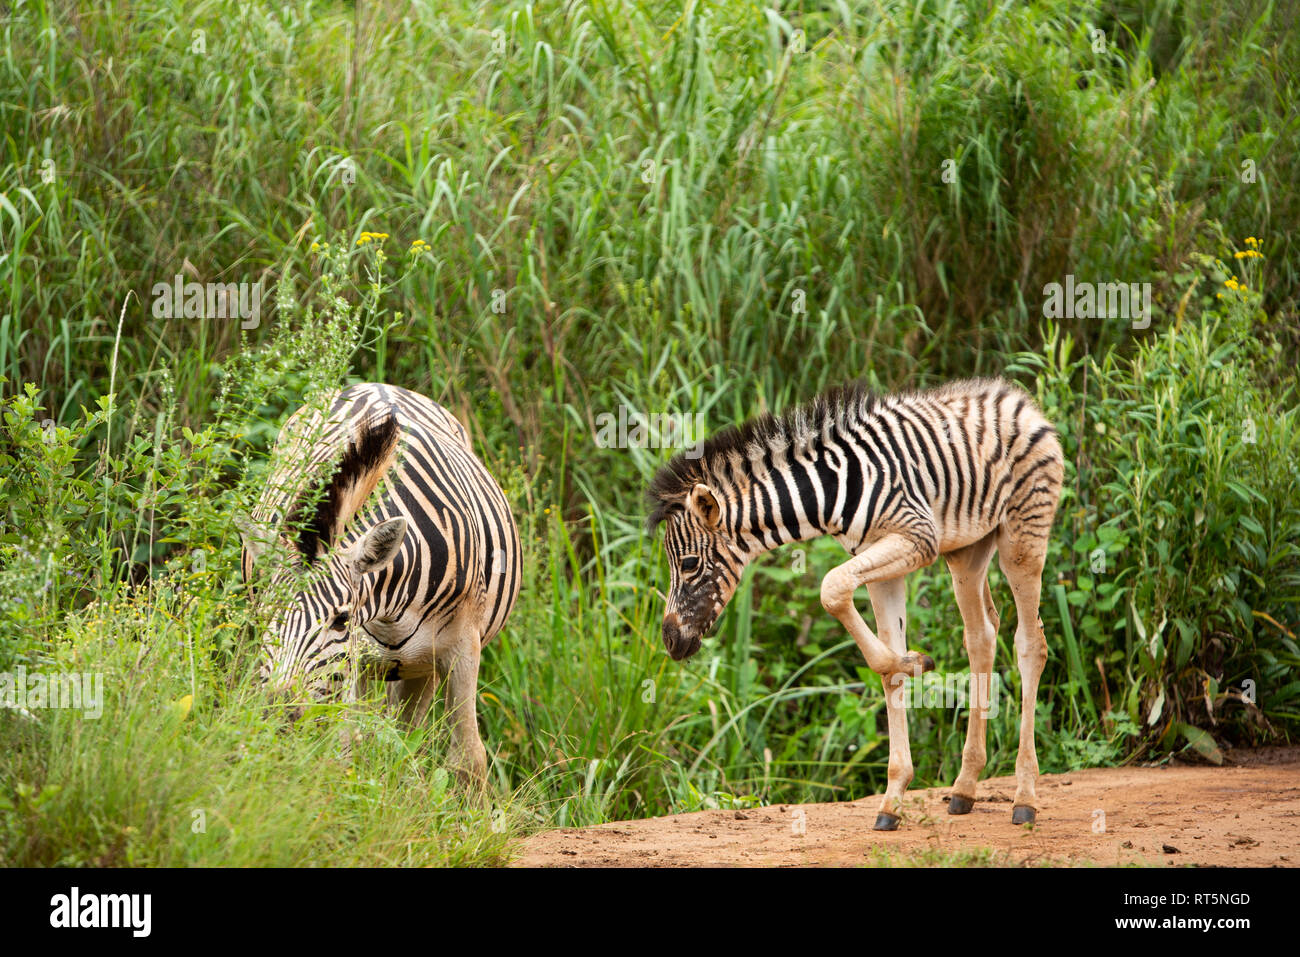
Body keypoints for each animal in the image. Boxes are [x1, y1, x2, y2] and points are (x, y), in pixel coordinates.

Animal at [237, 383, 521, 784]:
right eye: (268, 614)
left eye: (341, 620)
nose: (278, 711)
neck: (392, 609)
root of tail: (377, 385)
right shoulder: (349, 664)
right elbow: (344, 749)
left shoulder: (463, 647)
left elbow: (468, 760)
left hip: (420, 665)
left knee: (405, 736)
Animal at [647, 378, 1063, 829]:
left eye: (689, 564)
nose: (670, 641)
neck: (829, 493)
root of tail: (1016, 398)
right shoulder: (881, 563)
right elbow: (886, 664)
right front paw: (893, 795)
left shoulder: (917, 538)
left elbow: (830, 588)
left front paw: (913, 664)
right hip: (967, 550)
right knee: (981, 637)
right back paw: (964, 788)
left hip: (1022, 536)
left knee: (1030, 644)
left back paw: (1025, 796)